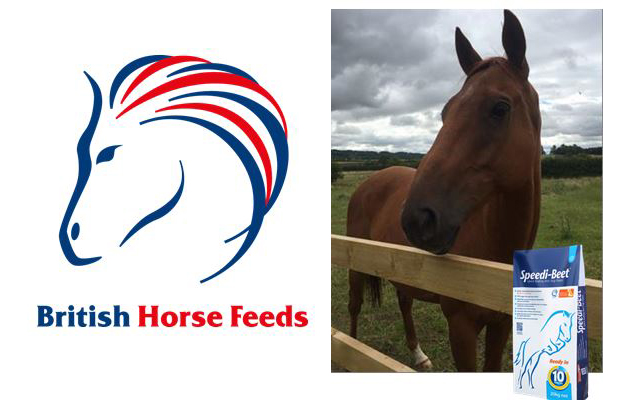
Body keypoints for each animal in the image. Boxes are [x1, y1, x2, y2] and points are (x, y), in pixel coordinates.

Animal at [346, 10, 541, 371]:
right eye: (445, 112)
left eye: (500, 108)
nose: (417, 218)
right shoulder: (460, 328)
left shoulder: (502, 324)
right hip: (355, 262)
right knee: (354, 306)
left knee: (404, 301)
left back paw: (418, 354)